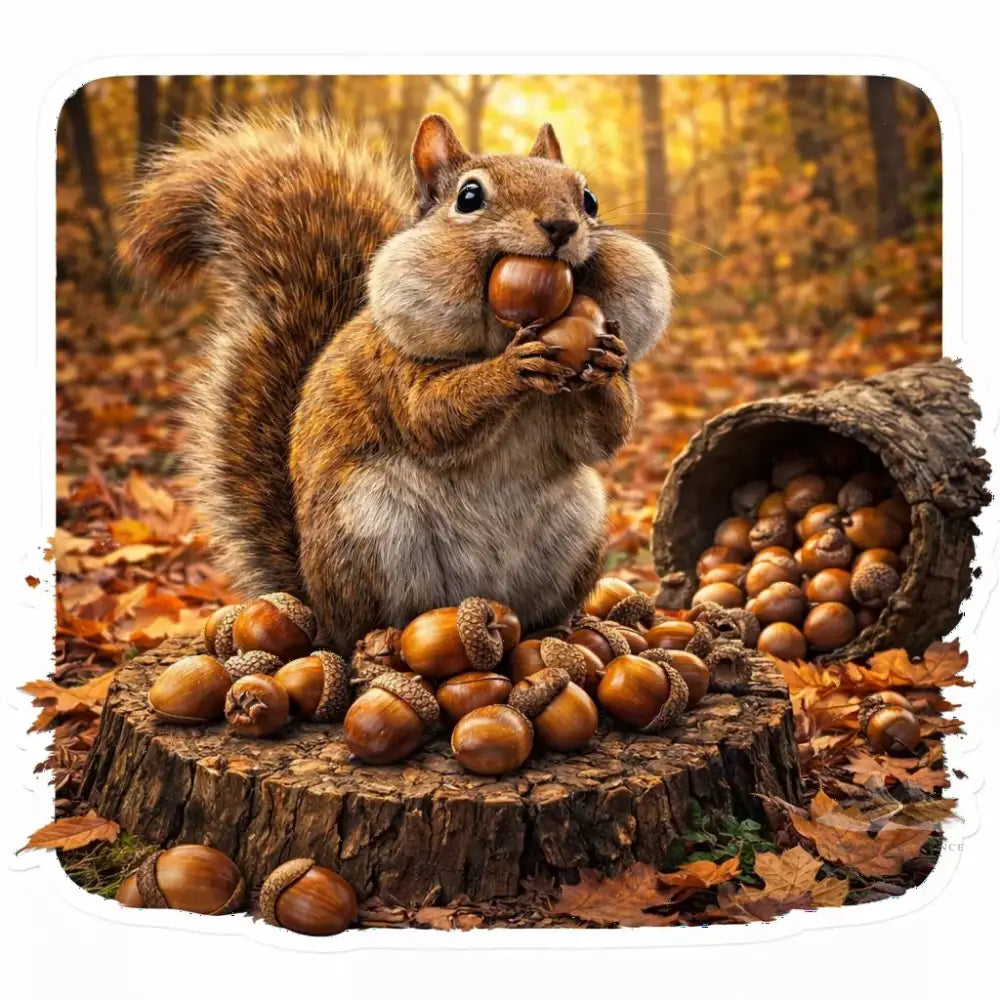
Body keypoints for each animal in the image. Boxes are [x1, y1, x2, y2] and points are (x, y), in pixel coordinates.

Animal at [124, 112, 671, 655]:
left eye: (589, 199)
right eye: (469, 197)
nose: (561, 225)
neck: (501, 332)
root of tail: (316, 604)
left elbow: (602, 438)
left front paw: (609, 360)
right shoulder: (395, 369)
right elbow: (432, 416)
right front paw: (511, 366)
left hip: (578, 528)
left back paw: (557, 632)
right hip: (368, 527)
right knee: (369, 622)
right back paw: (382, 642)